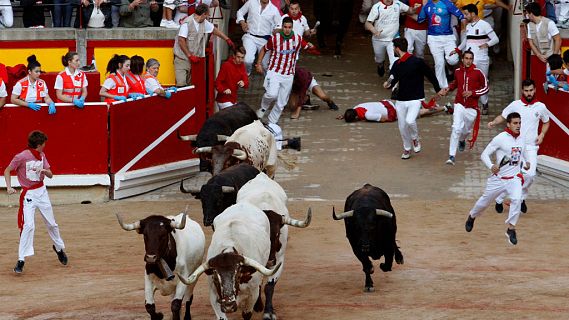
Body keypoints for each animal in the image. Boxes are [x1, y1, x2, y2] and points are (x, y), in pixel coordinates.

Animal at [235, 172, 310, 320]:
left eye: (277, 234)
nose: (270, 261)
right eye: (260, 235)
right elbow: (258, 285)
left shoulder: (279, 259)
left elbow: (269, 287)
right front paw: (258, 306)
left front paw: (269, 312)